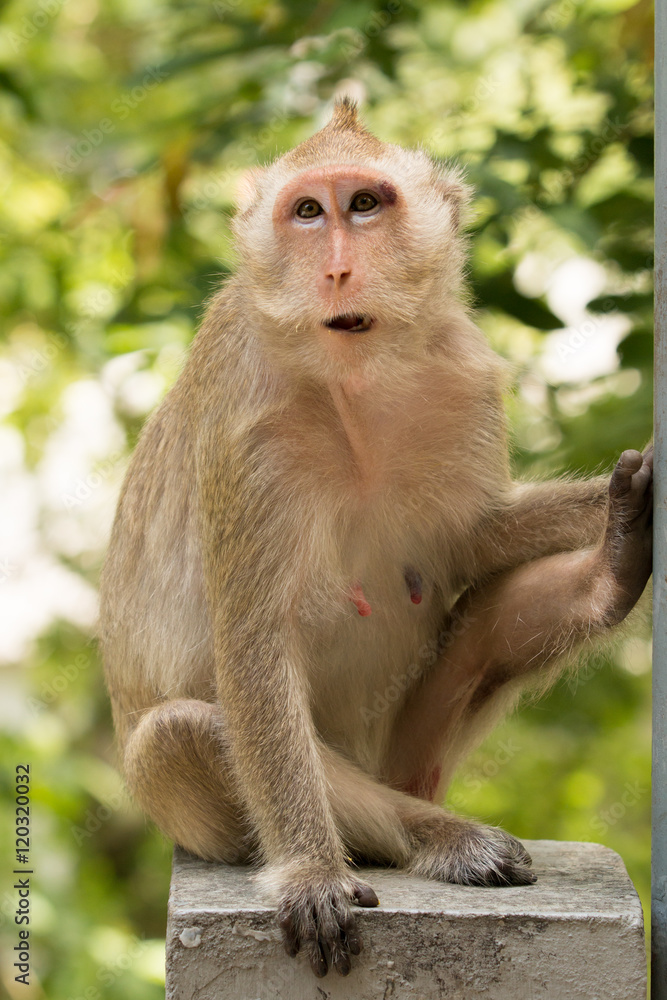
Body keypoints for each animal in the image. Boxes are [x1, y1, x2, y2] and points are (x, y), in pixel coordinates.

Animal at [99, 99, 653, 979]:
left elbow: (473, 542)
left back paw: (609, 573)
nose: (336, 270)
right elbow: (253, 643)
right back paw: (437, 838)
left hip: (410, 747)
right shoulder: (246, 424)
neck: (355, 382)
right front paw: (310, 874)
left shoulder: (464, 374)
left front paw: (622, 509)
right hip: (183, 808)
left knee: (487, 620)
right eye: (306, 212)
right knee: (188, 730)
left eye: (364, 204)